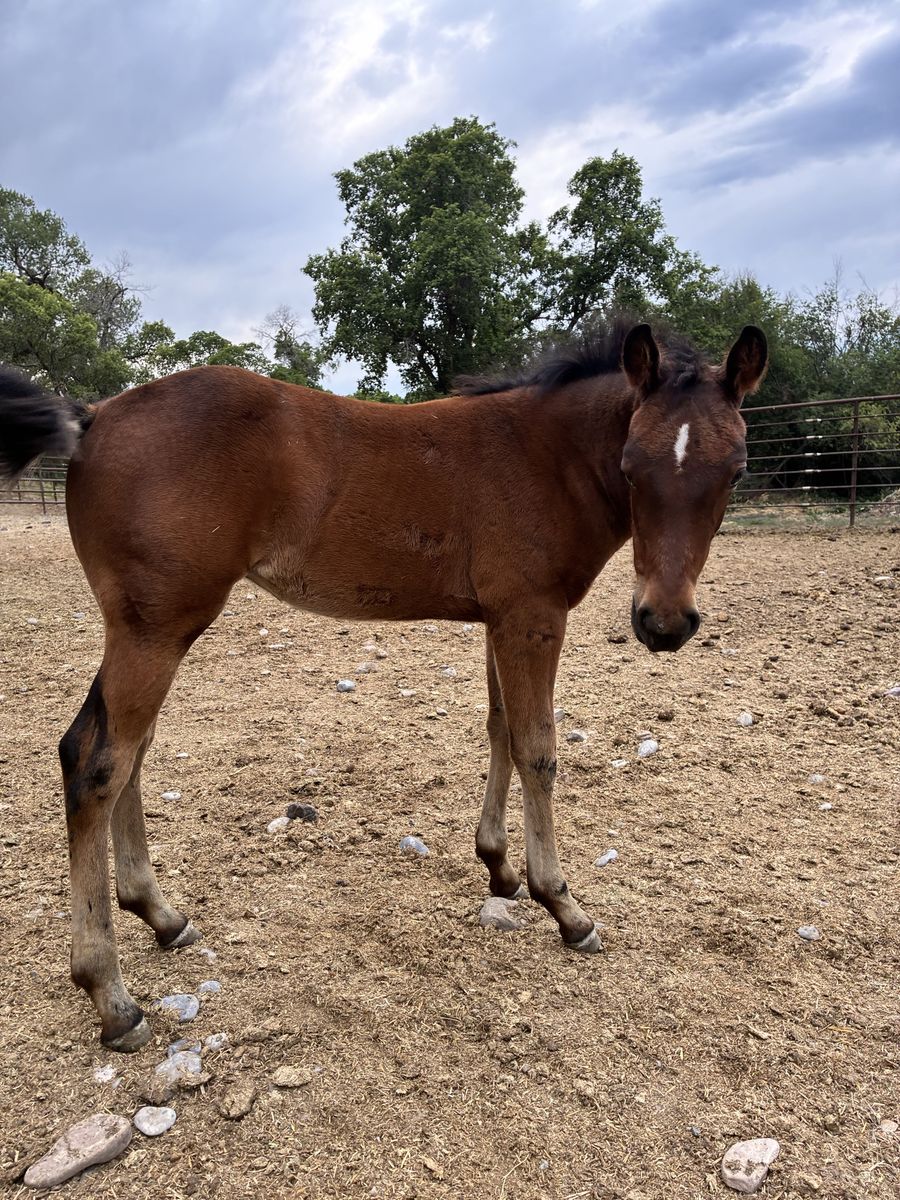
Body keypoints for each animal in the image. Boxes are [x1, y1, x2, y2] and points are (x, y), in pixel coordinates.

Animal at [0, 320, 766, 1051]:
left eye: (735, 471)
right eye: (632, 467)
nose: (664, 623)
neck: (545, 456)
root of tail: (93, 415)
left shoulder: (501, 618)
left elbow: (498, 731)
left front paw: (499, 869)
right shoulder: (533, 617)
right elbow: (537, 750)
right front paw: (563, 905)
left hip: (155, 632)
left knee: (123, 755)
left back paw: (163, 917)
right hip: (154, 631)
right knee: (97, 765)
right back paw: (112, 997)